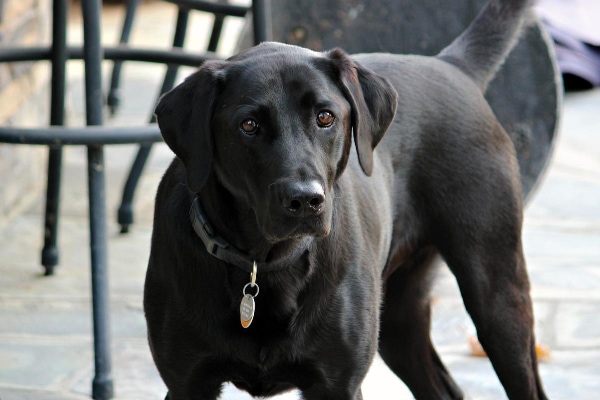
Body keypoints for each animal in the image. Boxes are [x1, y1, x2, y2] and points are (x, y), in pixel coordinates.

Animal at [145, 0, 548, 396]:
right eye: (249, 125)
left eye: (325, 117)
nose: (306, 200)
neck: (265, 263)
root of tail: (451, 65)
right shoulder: (187, 383)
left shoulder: (338, 383)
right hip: (398, 317)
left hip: (498, 296)